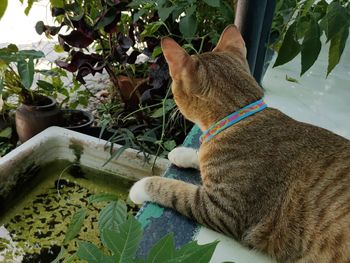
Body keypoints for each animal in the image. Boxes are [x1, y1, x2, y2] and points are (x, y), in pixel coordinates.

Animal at [130, 25, 350, 263]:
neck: (240, 116)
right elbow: (200, 156)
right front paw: (182, 153)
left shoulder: (222, 210)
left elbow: (175, 190)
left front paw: (141, 187)